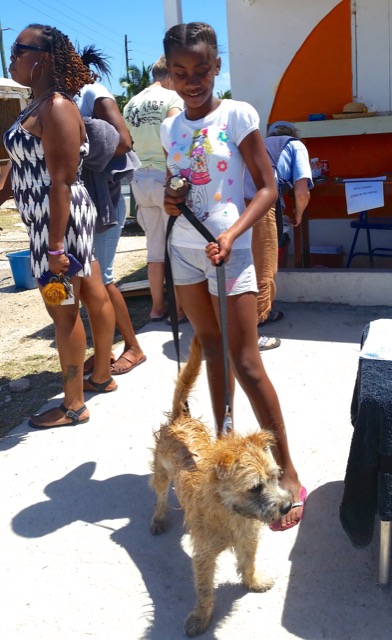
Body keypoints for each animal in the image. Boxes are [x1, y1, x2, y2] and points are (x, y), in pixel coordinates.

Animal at [152, 338, 292, 636]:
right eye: (255, 488)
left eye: (275, 477)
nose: (287, 506)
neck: (230, 513)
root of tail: (179, 418)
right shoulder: (203, 556)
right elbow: (205, 590)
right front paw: (200, 618)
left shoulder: (249, 540)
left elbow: (248, 564)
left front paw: (253, 582)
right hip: (160, 473)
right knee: (159, 496)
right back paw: (158, 518)